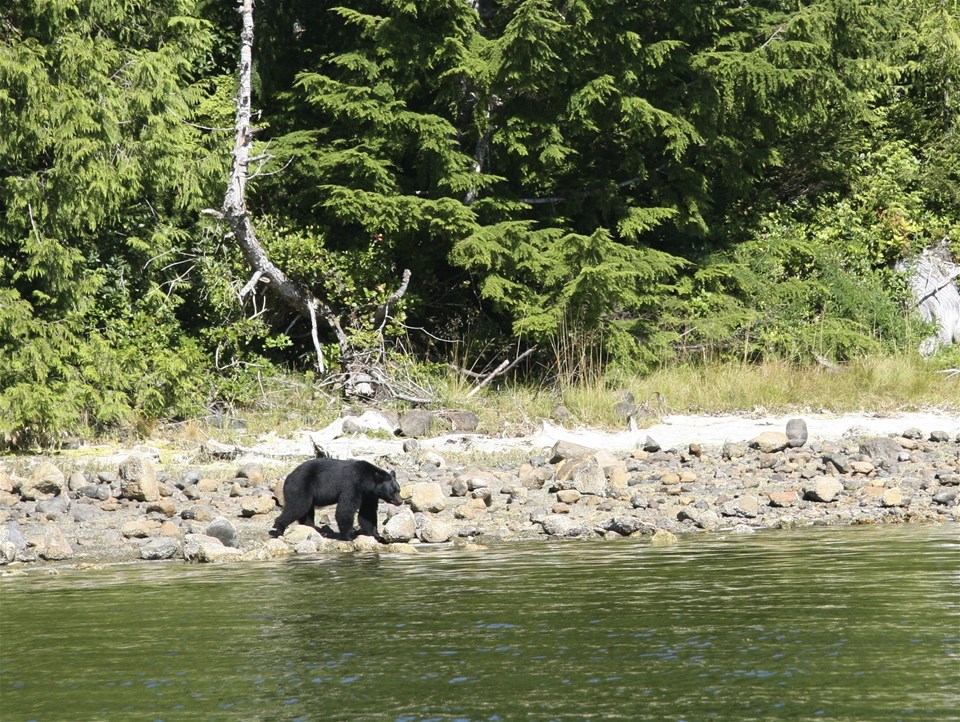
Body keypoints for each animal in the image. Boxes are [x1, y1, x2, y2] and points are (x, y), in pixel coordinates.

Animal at [270, 458, 402, 536]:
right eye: (393, 491)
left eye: (398, 490)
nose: (400, 501)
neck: (365, 481)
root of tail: (288, 477)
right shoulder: (351, 486)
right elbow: (345, 509)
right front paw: (350, 535)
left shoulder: (368, 495)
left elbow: (367, 513)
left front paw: (375, 534)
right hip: (300, 486)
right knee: (299, 506)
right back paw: (280, 529)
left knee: (306, 510)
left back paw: (315, 530)